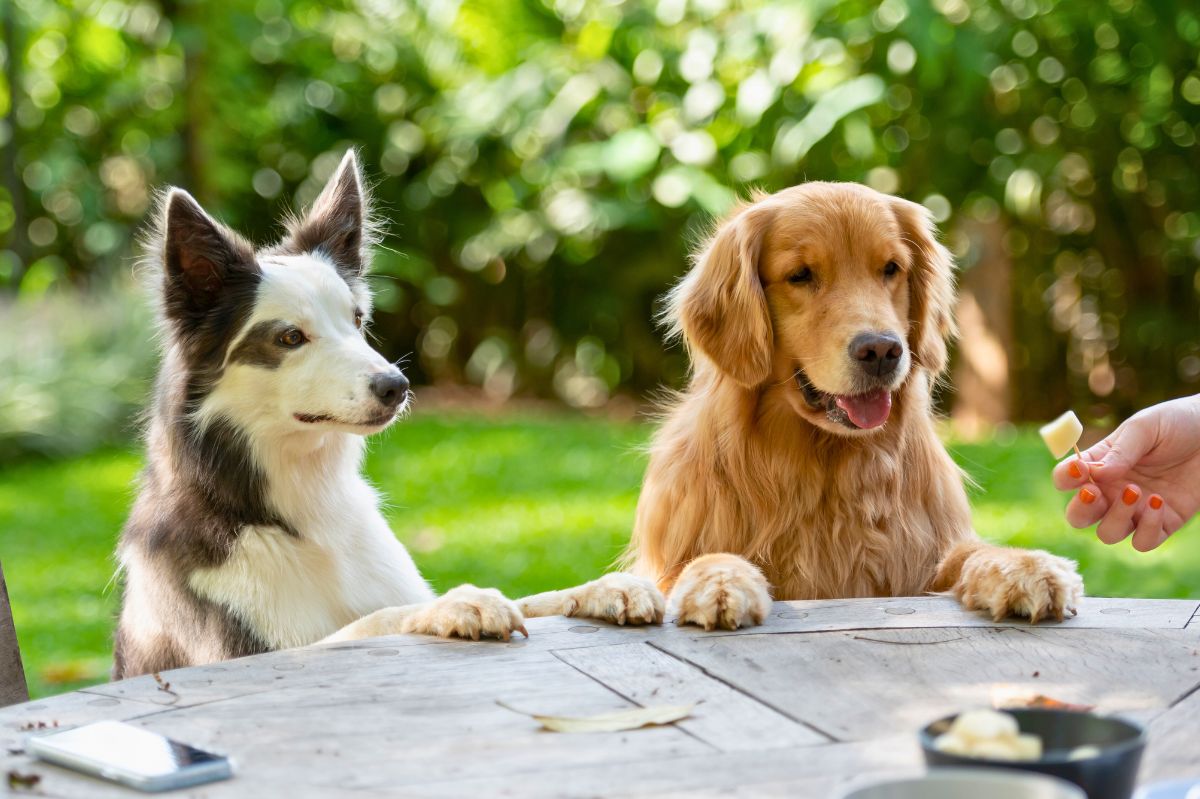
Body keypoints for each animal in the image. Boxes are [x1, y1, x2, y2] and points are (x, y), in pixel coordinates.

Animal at [115, 151, 662, 676]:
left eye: (357, 320)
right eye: (289, 338)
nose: (396, 387)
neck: (304, 512)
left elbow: (530, 598)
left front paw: (603, 587)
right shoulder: (248, 653)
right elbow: (375, 622)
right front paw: (460, 602)